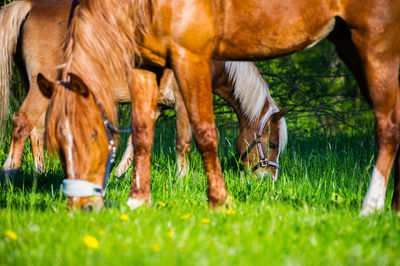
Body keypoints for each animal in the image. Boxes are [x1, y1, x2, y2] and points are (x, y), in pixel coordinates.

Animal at [0, 0, 288, 181]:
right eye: (272, 143)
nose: (269, 180)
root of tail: (31, 5)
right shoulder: (183, 103)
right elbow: (183, 142)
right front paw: (182, 178)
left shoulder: (156, 106)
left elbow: (134, 144)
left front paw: (119, 176)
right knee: (22, 121)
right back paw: (11, 172)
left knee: (35, 129)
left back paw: (40, 173)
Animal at [39, 0, 400, 215]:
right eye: (271, 143)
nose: (269, 182)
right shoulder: (164, 81)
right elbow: (162, 137)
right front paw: (148, 194)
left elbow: (174, 137)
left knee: (388, 127)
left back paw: (375, 206)